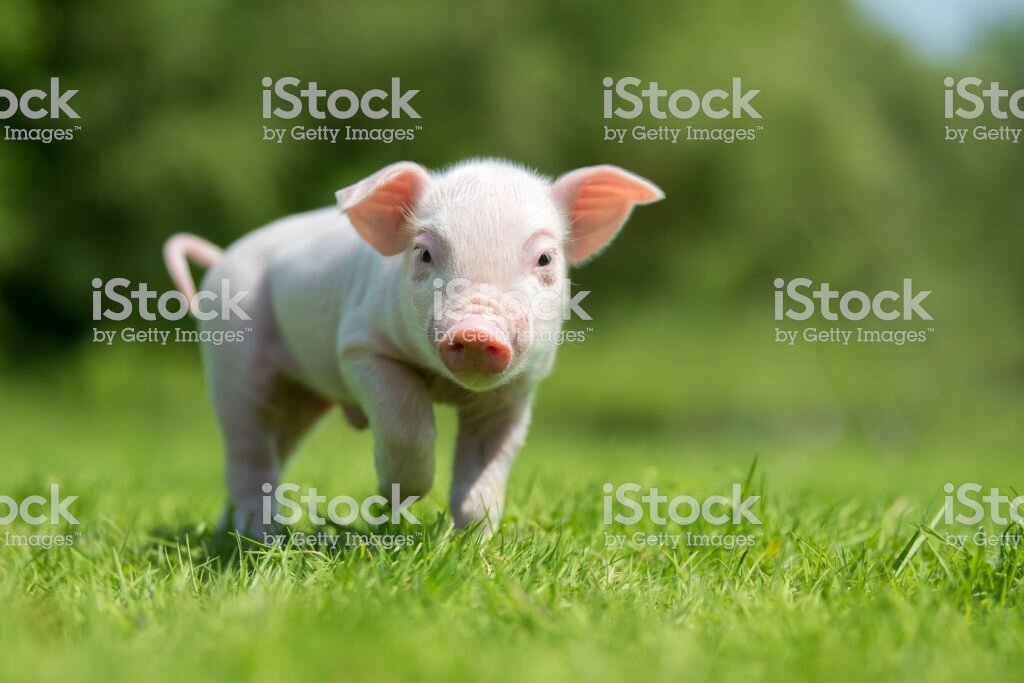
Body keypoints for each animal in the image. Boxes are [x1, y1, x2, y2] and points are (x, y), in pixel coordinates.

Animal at [163, 159, 662, 537]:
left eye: (545, 258)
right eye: (424, 253)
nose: (477, 330)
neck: (446, 388)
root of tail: (222, 256)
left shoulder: (519, 390)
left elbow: (485, 470)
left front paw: (475, 544)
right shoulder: (361, 347)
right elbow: (408, 425)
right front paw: (391, 503)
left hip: (300, 398)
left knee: (274, 448)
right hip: (232, 361)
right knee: (245, 449)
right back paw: (261, 536)